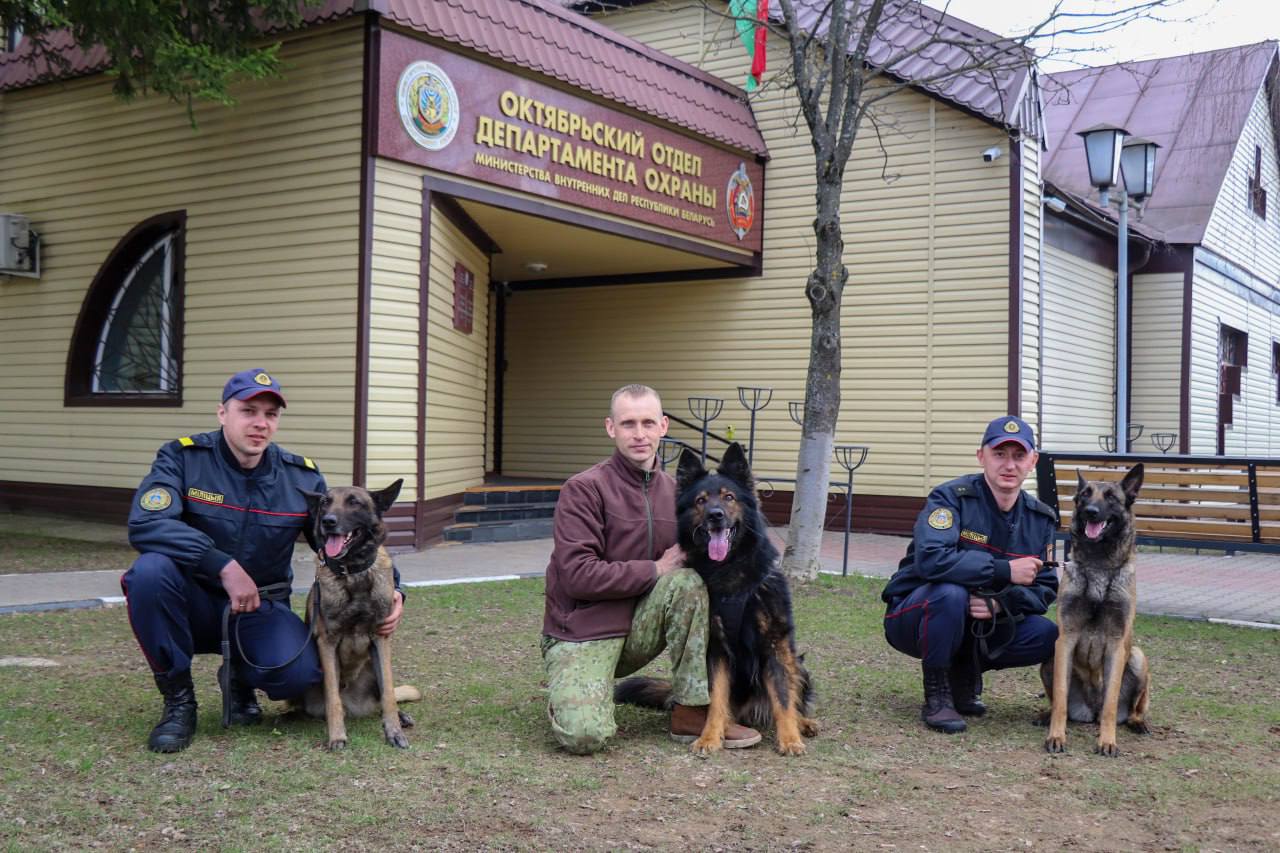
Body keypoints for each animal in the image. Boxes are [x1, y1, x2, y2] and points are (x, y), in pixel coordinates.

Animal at [294, 479, 419, 753]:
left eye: (354, 502)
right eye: (324, 502)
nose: (327, 521)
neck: (353, 573)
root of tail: (356, 706)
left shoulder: (380, 639)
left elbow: (389, 696)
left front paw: (393, 732)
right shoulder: (327, 643)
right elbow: (332, 699)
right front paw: (337, 736)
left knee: (383, 696)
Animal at [1039, 461, 1152, 753]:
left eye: (1111, 497)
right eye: (1084, 495)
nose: (1090, 511)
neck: (1098, 566)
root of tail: (1090, 712)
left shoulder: (1116, 643)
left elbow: (1111, 703)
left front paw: (1107, 741)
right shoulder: (1065, 640)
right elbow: (1060, 698)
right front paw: (1056, 736)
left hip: (1137, 657)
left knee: (1135, 707)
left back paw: (1137, 722)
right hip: (1049, 658)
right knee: (1058, 701)